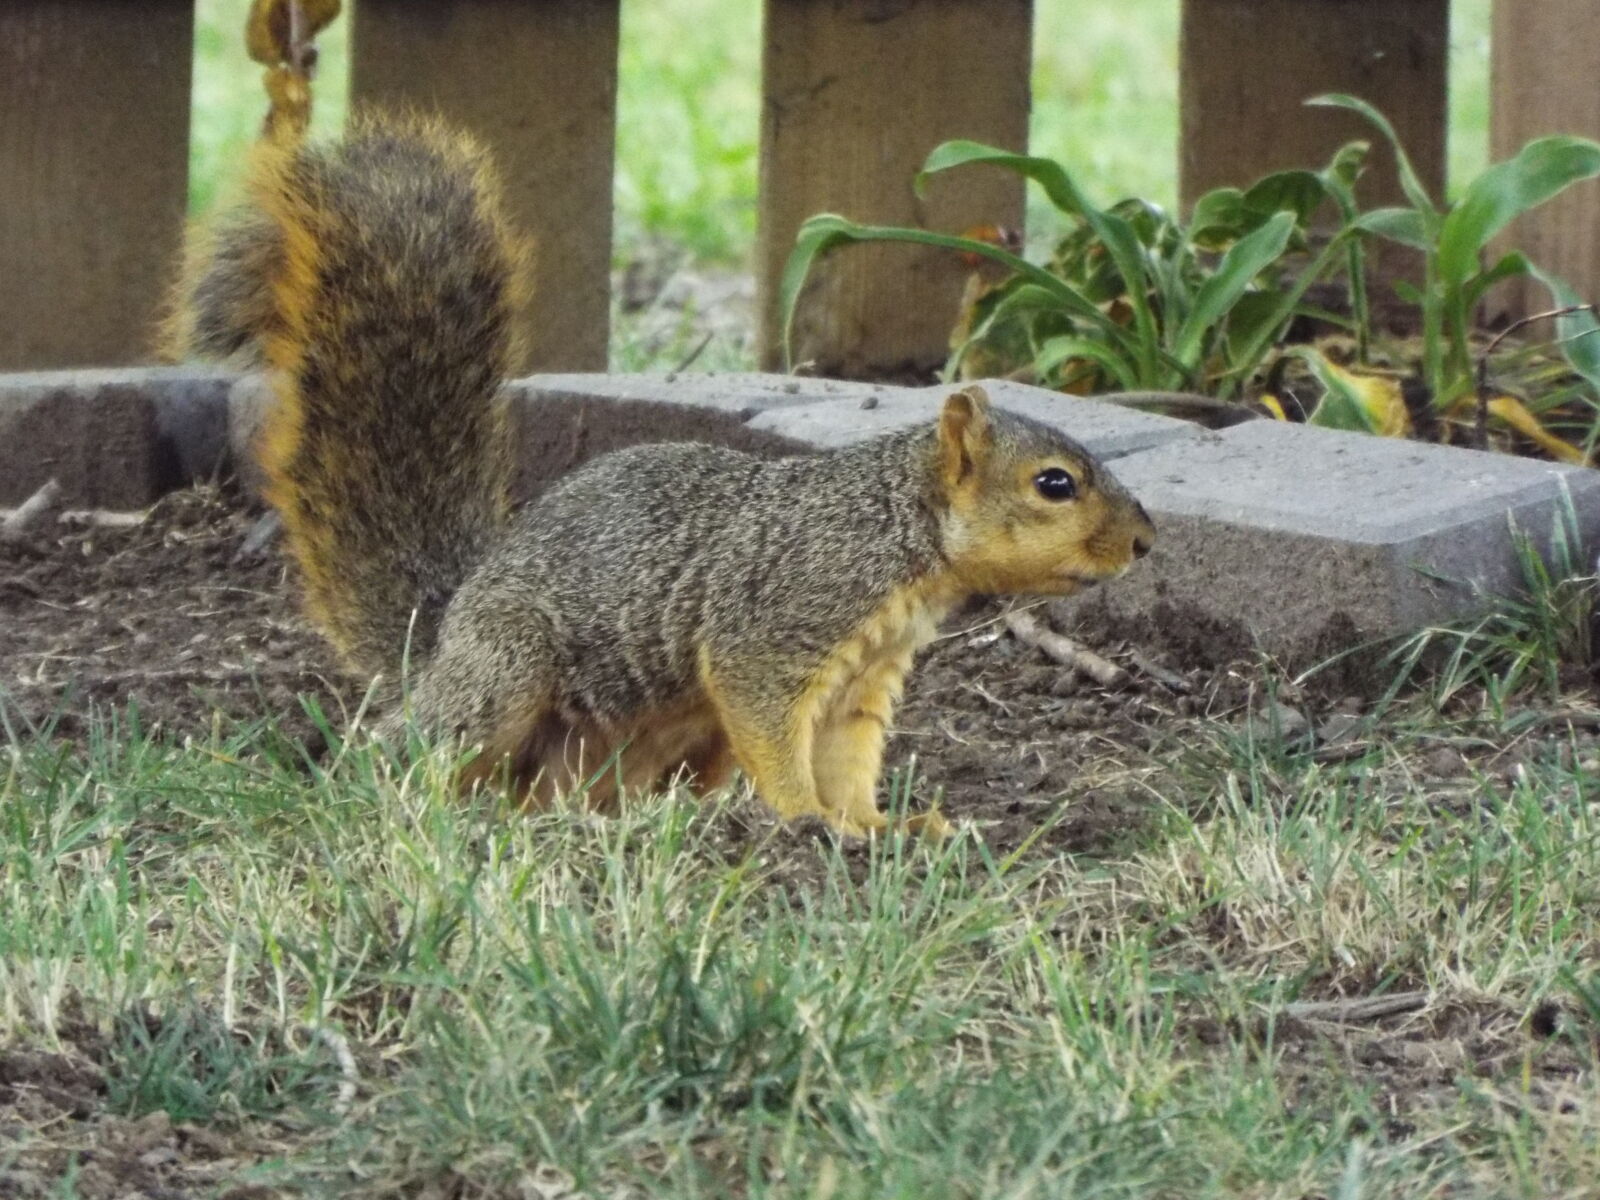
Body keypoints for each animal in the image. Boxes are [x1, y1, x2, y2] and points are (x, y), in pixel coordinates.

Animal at [162, 112, 1157, 838]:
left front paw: (882, 829)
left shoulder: (862, 681)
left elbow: (848, 759)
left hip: (663, 739)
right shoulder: (778, 625)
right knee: (414, 747)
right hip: (508, 669)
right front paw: (801, 820)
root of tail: (442, 633)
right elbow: (774, 727)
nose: (1147, 542)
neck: (892, 530)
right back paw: (411, 798)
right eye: (1055, 484)